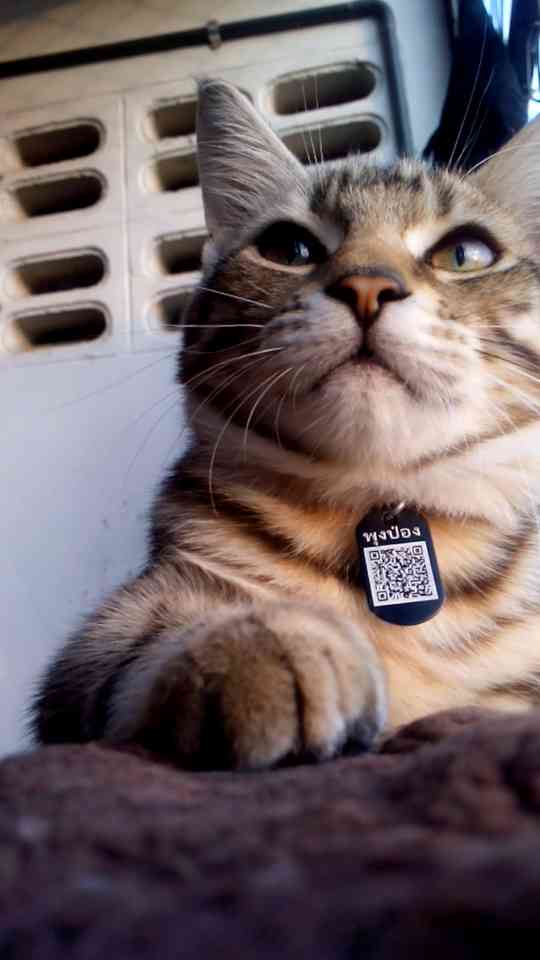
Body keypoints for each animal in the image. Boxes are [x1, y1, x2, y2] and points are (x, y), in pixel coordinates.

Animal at [33, 79, 540, 770]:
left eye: (465, 253)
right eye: (288, 248)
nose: (367, 286)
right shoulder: (89, 654)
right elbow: (150, 635)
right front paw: (261, 643)